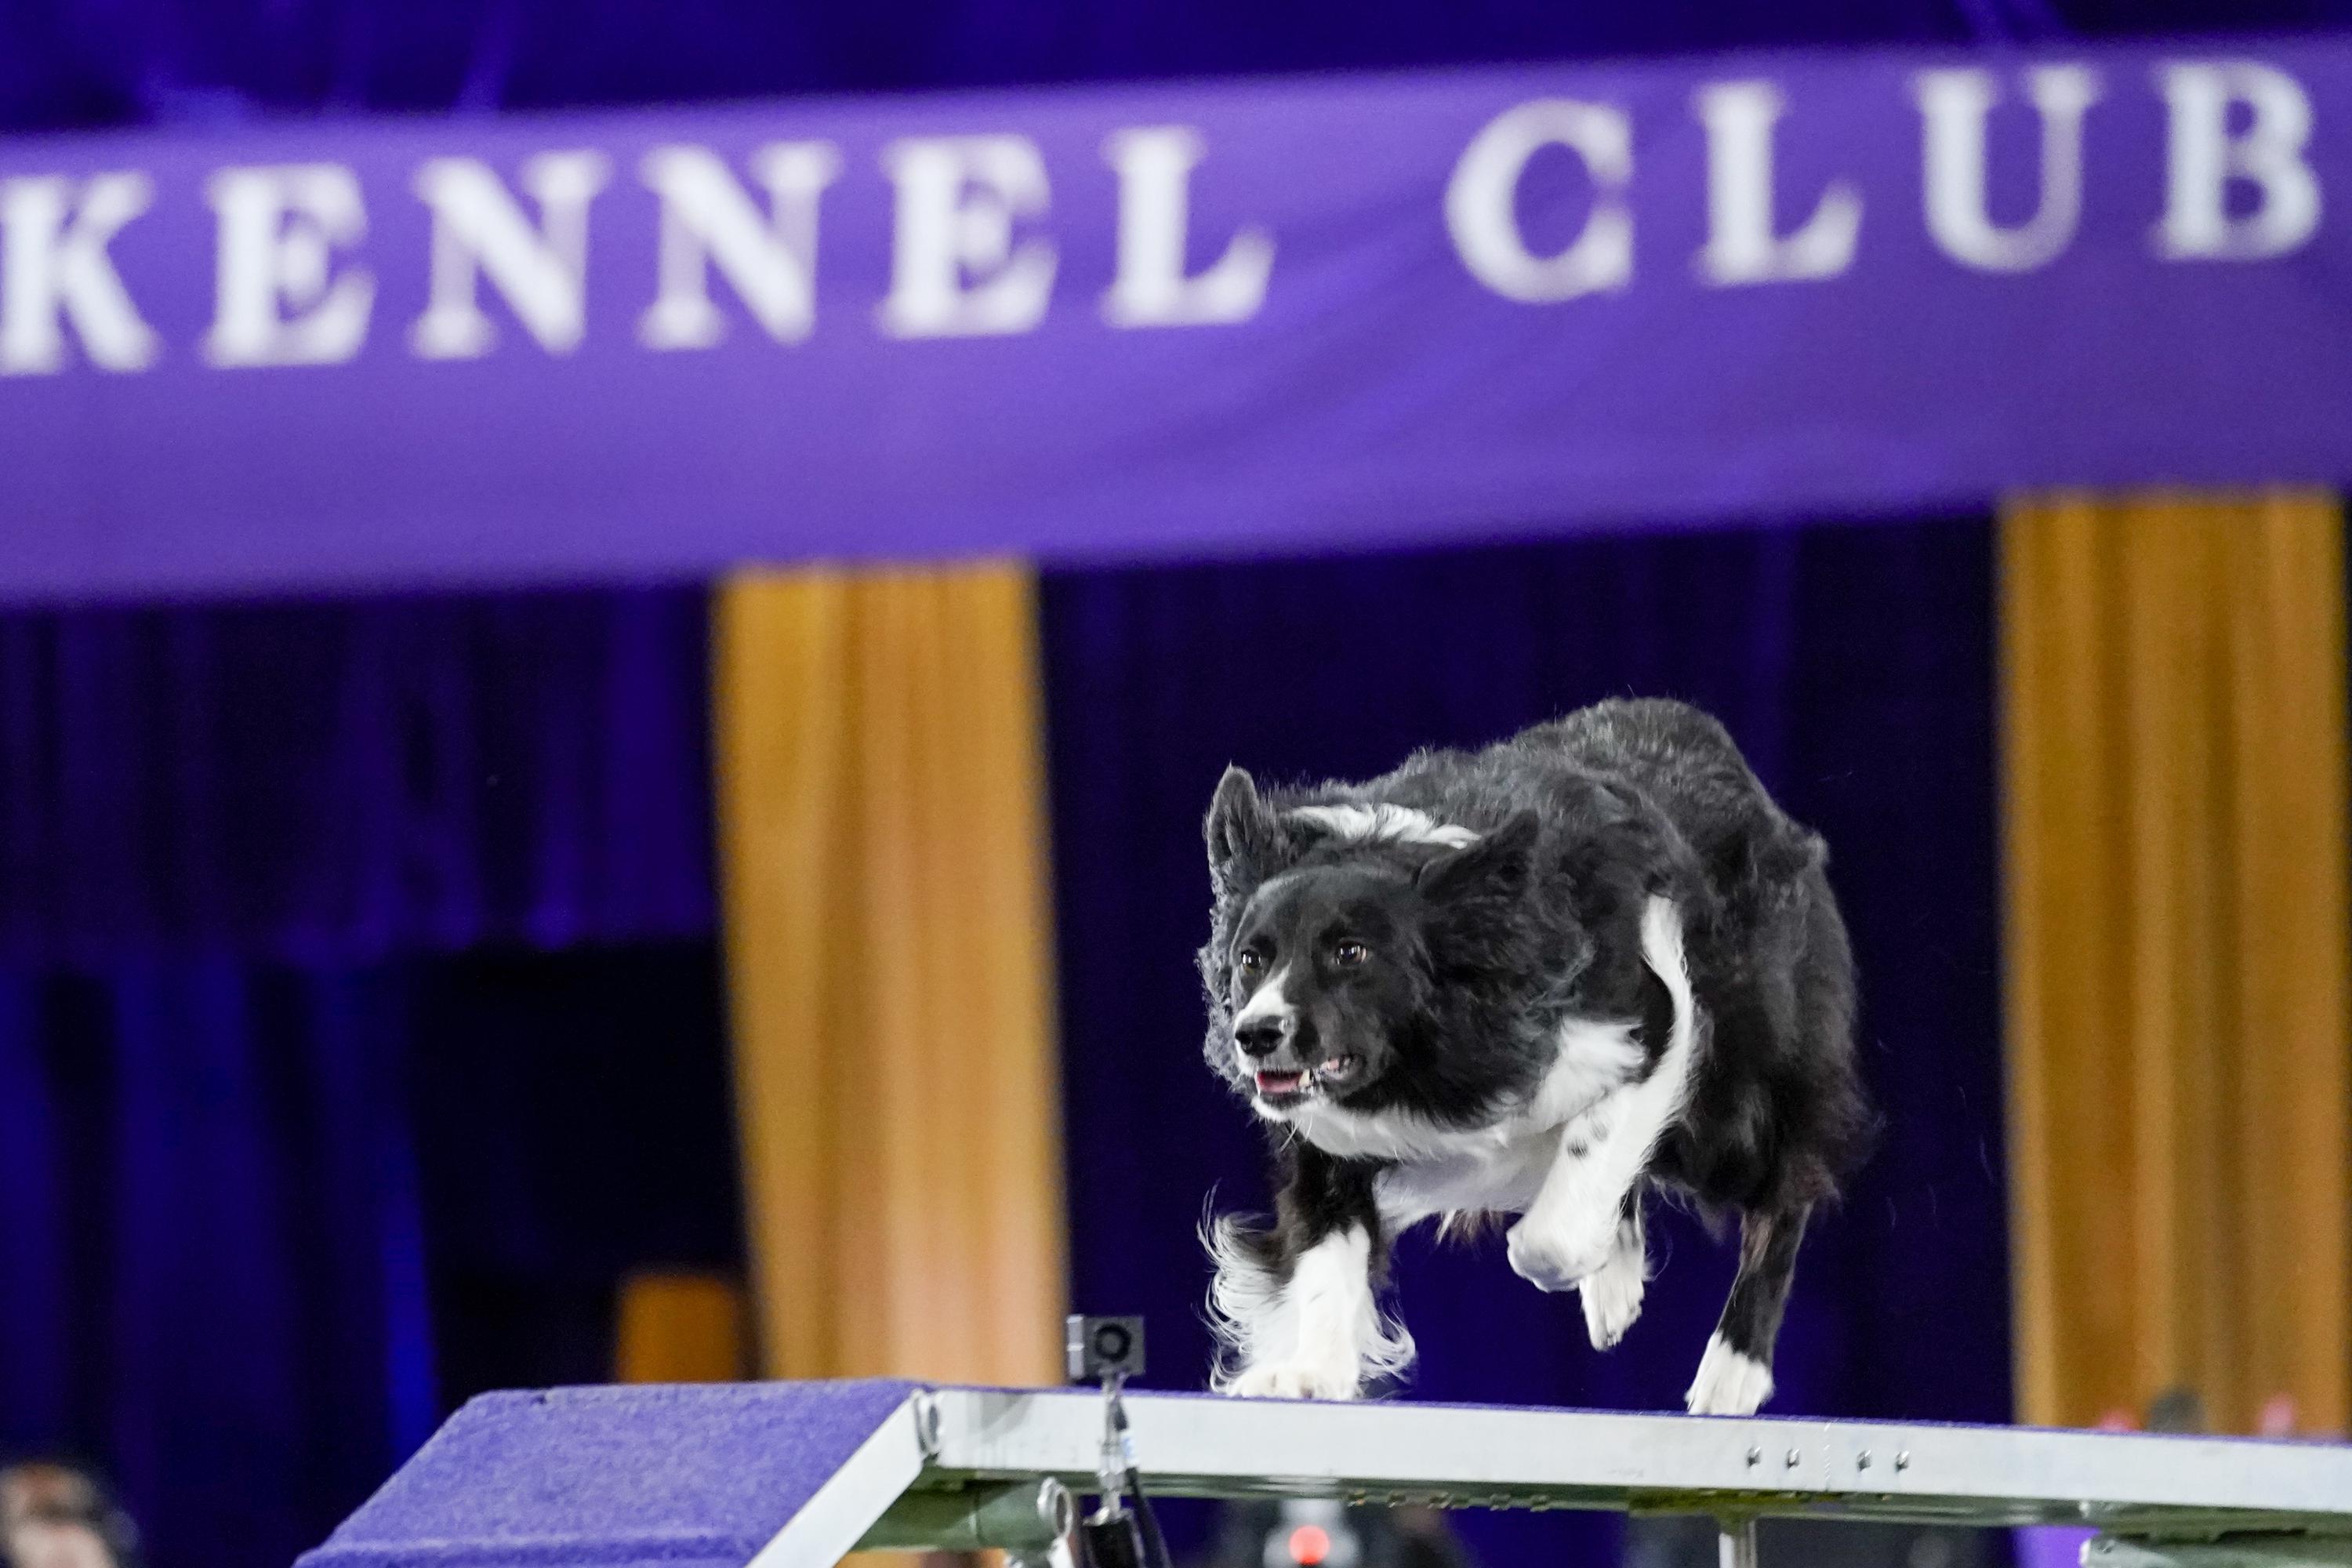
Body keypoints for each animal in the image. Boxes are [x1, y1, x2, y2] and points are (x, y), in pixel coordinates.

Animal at [1204, 705, 1863, 1420]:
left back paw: (1732, 1371)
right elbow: (1327, 1250)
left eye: (1350, 953)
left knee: (1783, 1188)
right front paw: (1310, 1374)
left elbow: (1556, 1226)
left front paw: (1567, 1250)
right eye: (1251, 959)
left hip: (1734, 1101)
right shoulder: (1326, 1134)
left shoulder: (1654, 1019)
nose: (1254, 1034)